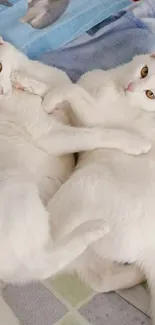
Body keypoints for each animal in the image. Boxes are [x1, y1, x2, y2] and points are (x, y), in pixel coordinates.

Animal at [0, 36, 150, 282]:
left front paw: (33, 86)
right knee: (41, 263)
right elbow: (96, 133)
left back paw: (133, 273)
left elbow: (61, 93)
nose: (3, 91)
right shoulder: (52, 135)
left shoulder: (66, 111)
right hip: (19, 185)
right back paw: (92, 229)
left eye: (1, 66)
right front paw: (136, 142)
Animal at [40, 55, 155, 322]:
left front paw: (49, 99)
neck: (113, 81)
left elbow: (72, 91)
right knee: (97, 277)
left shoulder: (95, 118)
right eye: (144, 71)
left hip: (83, 186)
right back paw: (136, 276)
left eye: (150, 94)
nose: (131, 87)